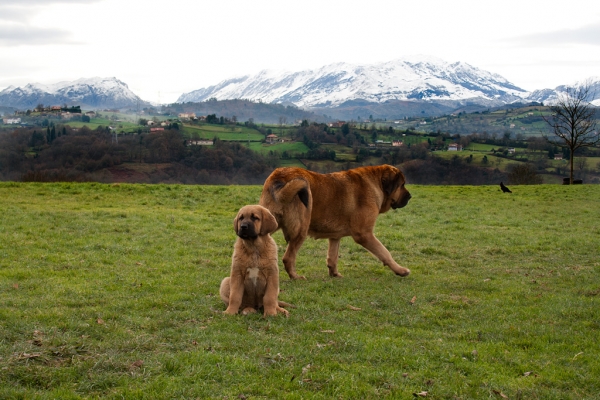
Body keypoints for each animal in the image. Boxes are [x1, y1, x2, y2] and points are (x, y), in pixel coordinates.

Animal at [260, 164, 410, 280]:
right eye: (402, 185)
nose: (410, 196)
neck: (376, 183)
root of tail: (280, 177)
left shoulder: (335, 236)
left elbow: (333, 257)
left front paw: (334, 274)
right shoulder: (364, 234)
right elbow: (384, 252)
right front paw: (400, 270)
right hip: (300, 230)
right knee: (288, 258)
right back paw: (295, 277)